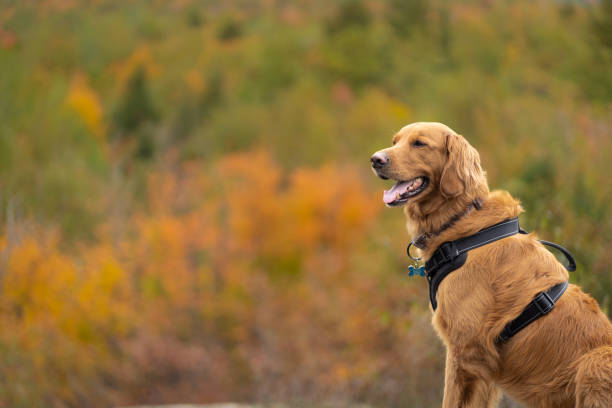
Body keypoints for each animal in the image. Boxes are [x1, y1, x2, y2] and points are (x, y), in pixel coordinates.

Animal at [370, 122, 608, 406]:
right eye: (395, 141)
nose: (375, 159)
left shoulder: (465, 353)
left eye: (419, 144)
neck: (459, 221)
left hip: (594, 361)